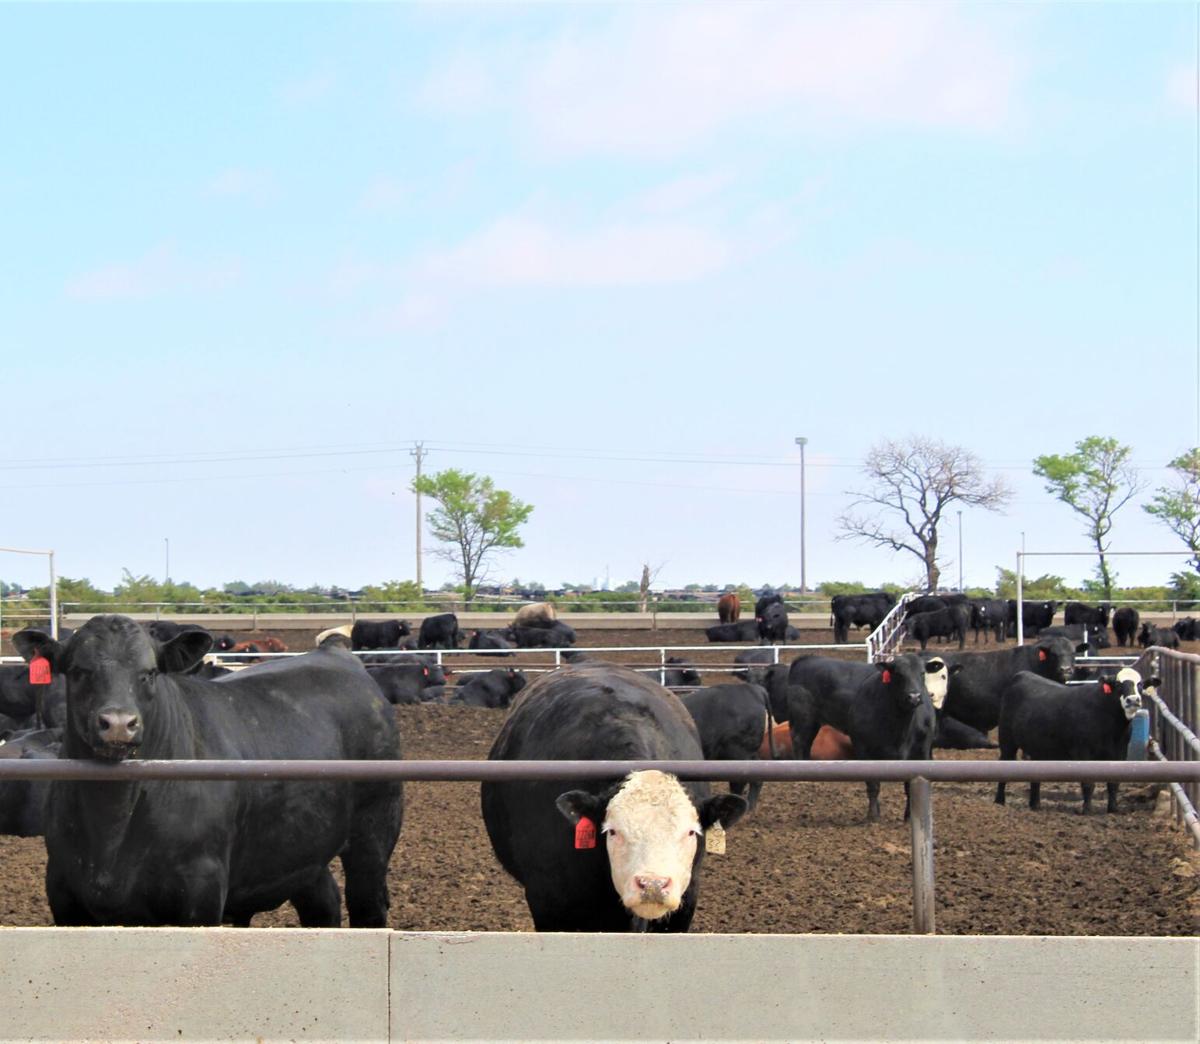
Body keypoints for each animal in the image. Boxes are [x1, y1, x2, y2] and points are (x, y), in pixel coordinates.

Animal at [13, 615, 403, 927]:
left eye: (149, 673)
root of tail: (334, 652)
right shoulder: (64, 893)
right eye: (79, 671)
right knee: (323, 903)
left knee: (367, 905)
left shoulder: (200, 891)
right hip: (303, 851)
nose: (119, 723)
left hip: (375, 830)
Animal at [786, 654, 937, 821]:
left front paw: (909, 816)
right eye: (898, 674)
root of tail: (806, 658)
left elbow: (911, 785)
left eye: (922, 673)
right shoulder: (863, 747)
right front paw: (873, 814)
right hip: (803, 719)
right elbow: (872, 784)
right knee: (800, 742)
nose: (914, 697)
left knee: (806, 744)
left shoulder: (922, 750)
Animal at [995, 667, 1156, 814]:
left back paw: (1035, 805)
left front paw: (1113, 809)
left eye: (1140, 684)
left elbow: (1113, 783)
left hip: (1037, 748)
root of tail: (1021, 674)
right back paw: (999, 802)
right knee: (1004, 764)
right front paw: (1087, 810)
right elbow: (1088, 783)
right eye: (1117, 683)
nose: (1133, 700)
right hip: (1007, 741)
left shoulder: (1120, 753)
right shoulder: (1083, 752)